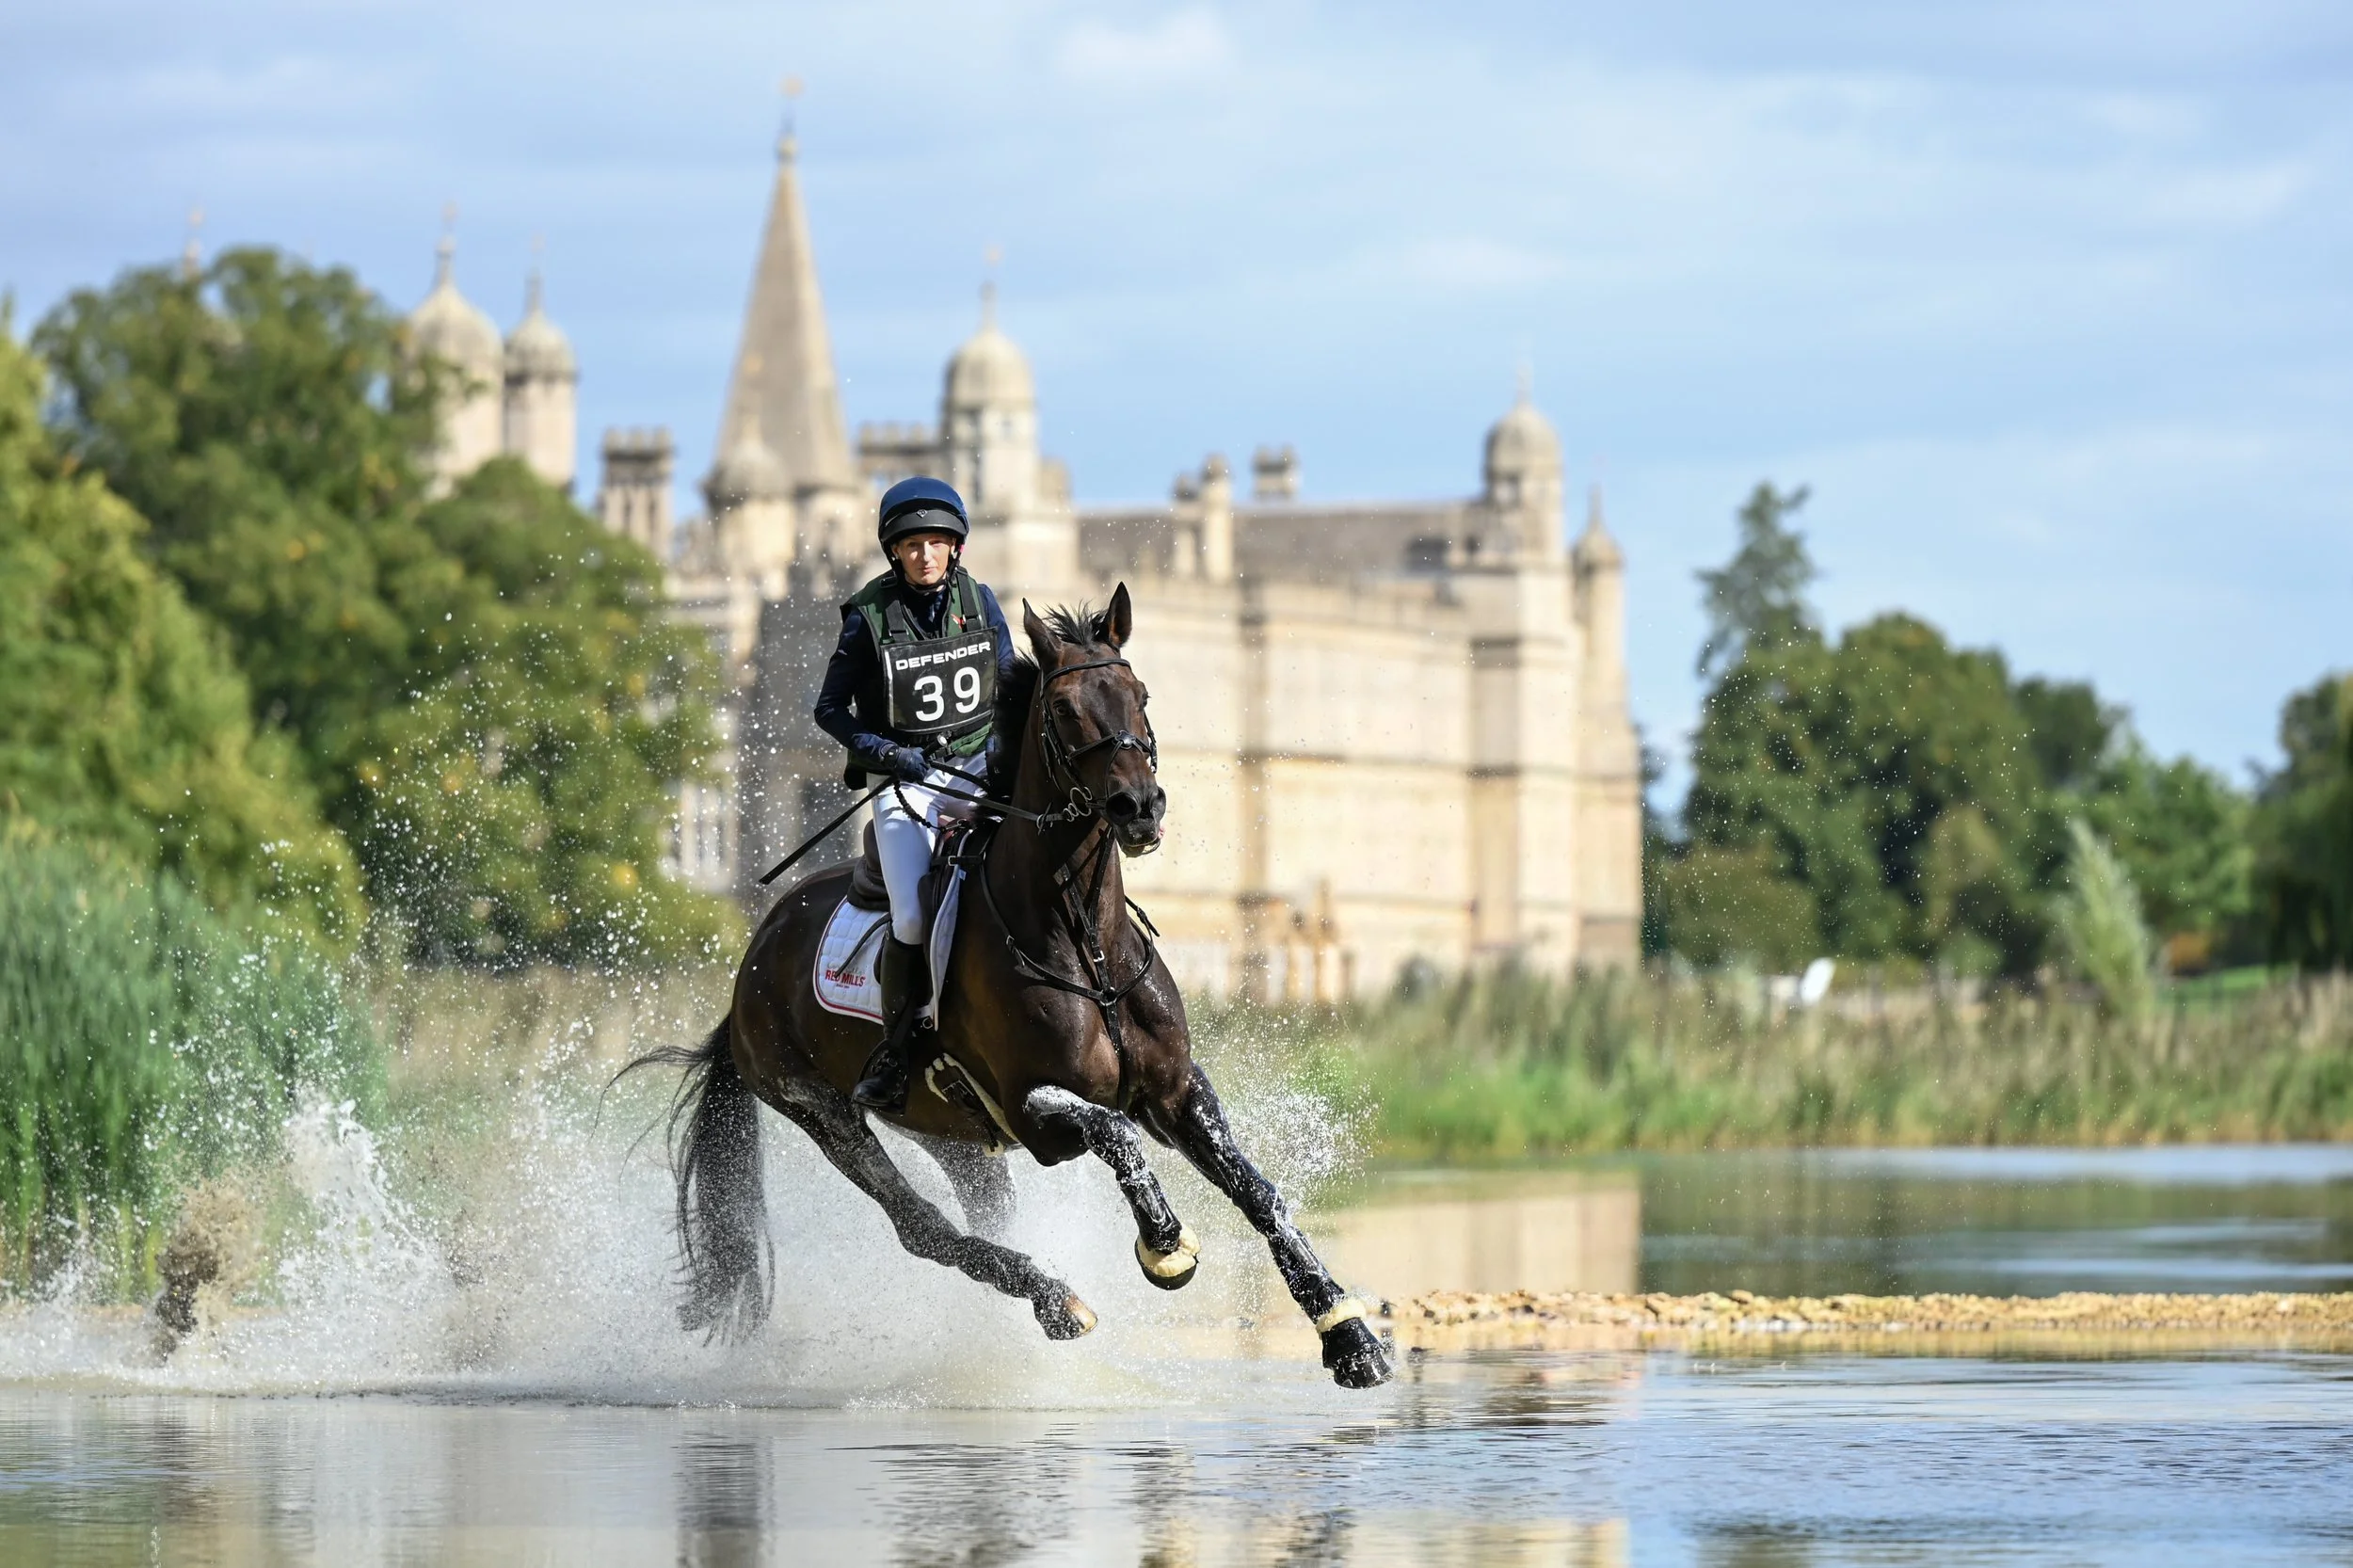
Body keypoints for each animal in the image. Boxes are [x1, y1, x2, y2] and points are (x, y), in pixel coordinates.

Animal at [623, 582, 1392, 1389]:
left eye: (1141, 695)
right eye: (1064, 710)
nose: (1140, 810)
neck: (1086, 945)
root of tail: (753, 960)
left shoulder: (1177, 1091)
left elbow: (1258, 1193)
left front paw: (1349, 1336)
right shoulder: (1036, 1112)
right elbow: (1115, 1133)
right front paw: (1165, 1245)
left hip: (949, 1133)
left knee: (978, 1211)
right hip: (823, 1113)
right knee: (921, 1228)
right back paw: (1057, 1301)